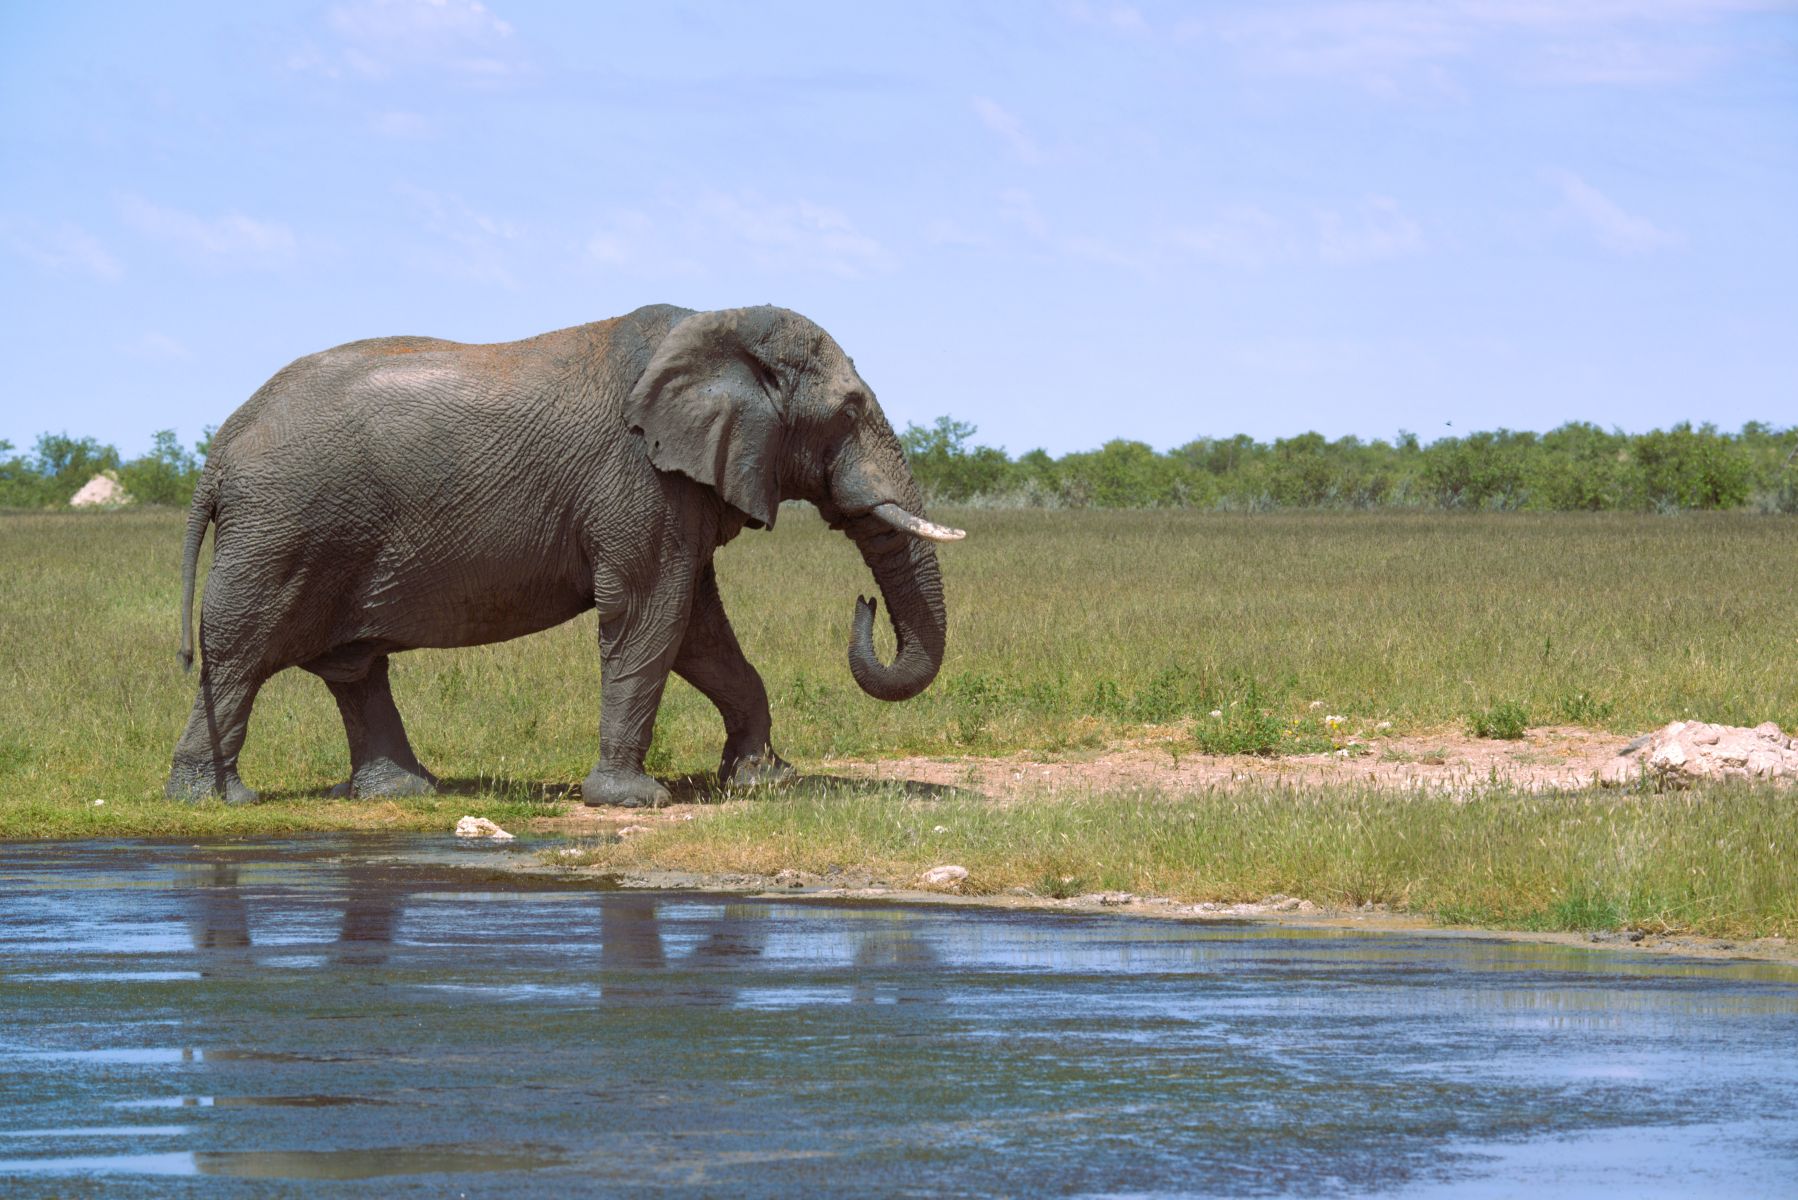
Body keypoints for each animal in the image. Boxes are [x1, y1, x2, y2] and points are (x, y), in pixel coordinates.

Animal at [165, 304, 964, 808]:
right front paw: (634, 801)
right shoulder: (639, 479)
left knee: (352, 668)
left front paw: (765, 781)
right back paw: (217, 802)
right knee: (242, 653)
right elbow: (652, 616)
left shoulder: (676, 490)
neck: (718, 328)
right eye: (850, 410)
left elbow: (698, 633)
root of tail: (219, 452)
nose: (861, 602)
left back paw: (403, 793)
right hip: (282, 530)